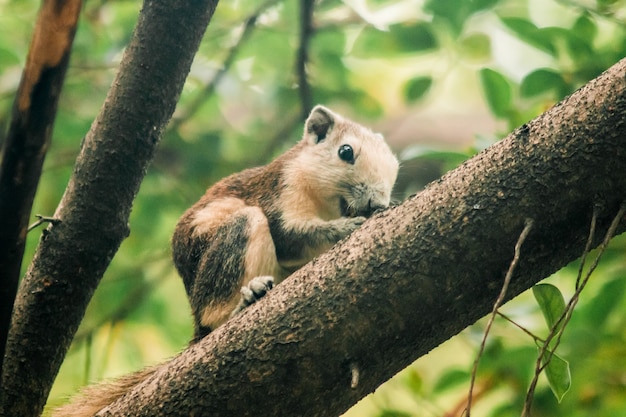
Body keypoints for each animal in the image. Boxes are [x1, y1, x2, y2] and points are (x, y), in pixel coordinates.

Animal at [51, 105, 398, 414]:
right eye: (345, 152)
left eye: (395, 166)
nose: (376, 200)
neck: (327, 204)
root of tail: (196, 325)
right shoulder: (280, 191)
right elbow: (289, 237)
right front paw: (351, 226)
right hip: (234, 240)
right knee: (215, 309)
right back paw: (242, 303)